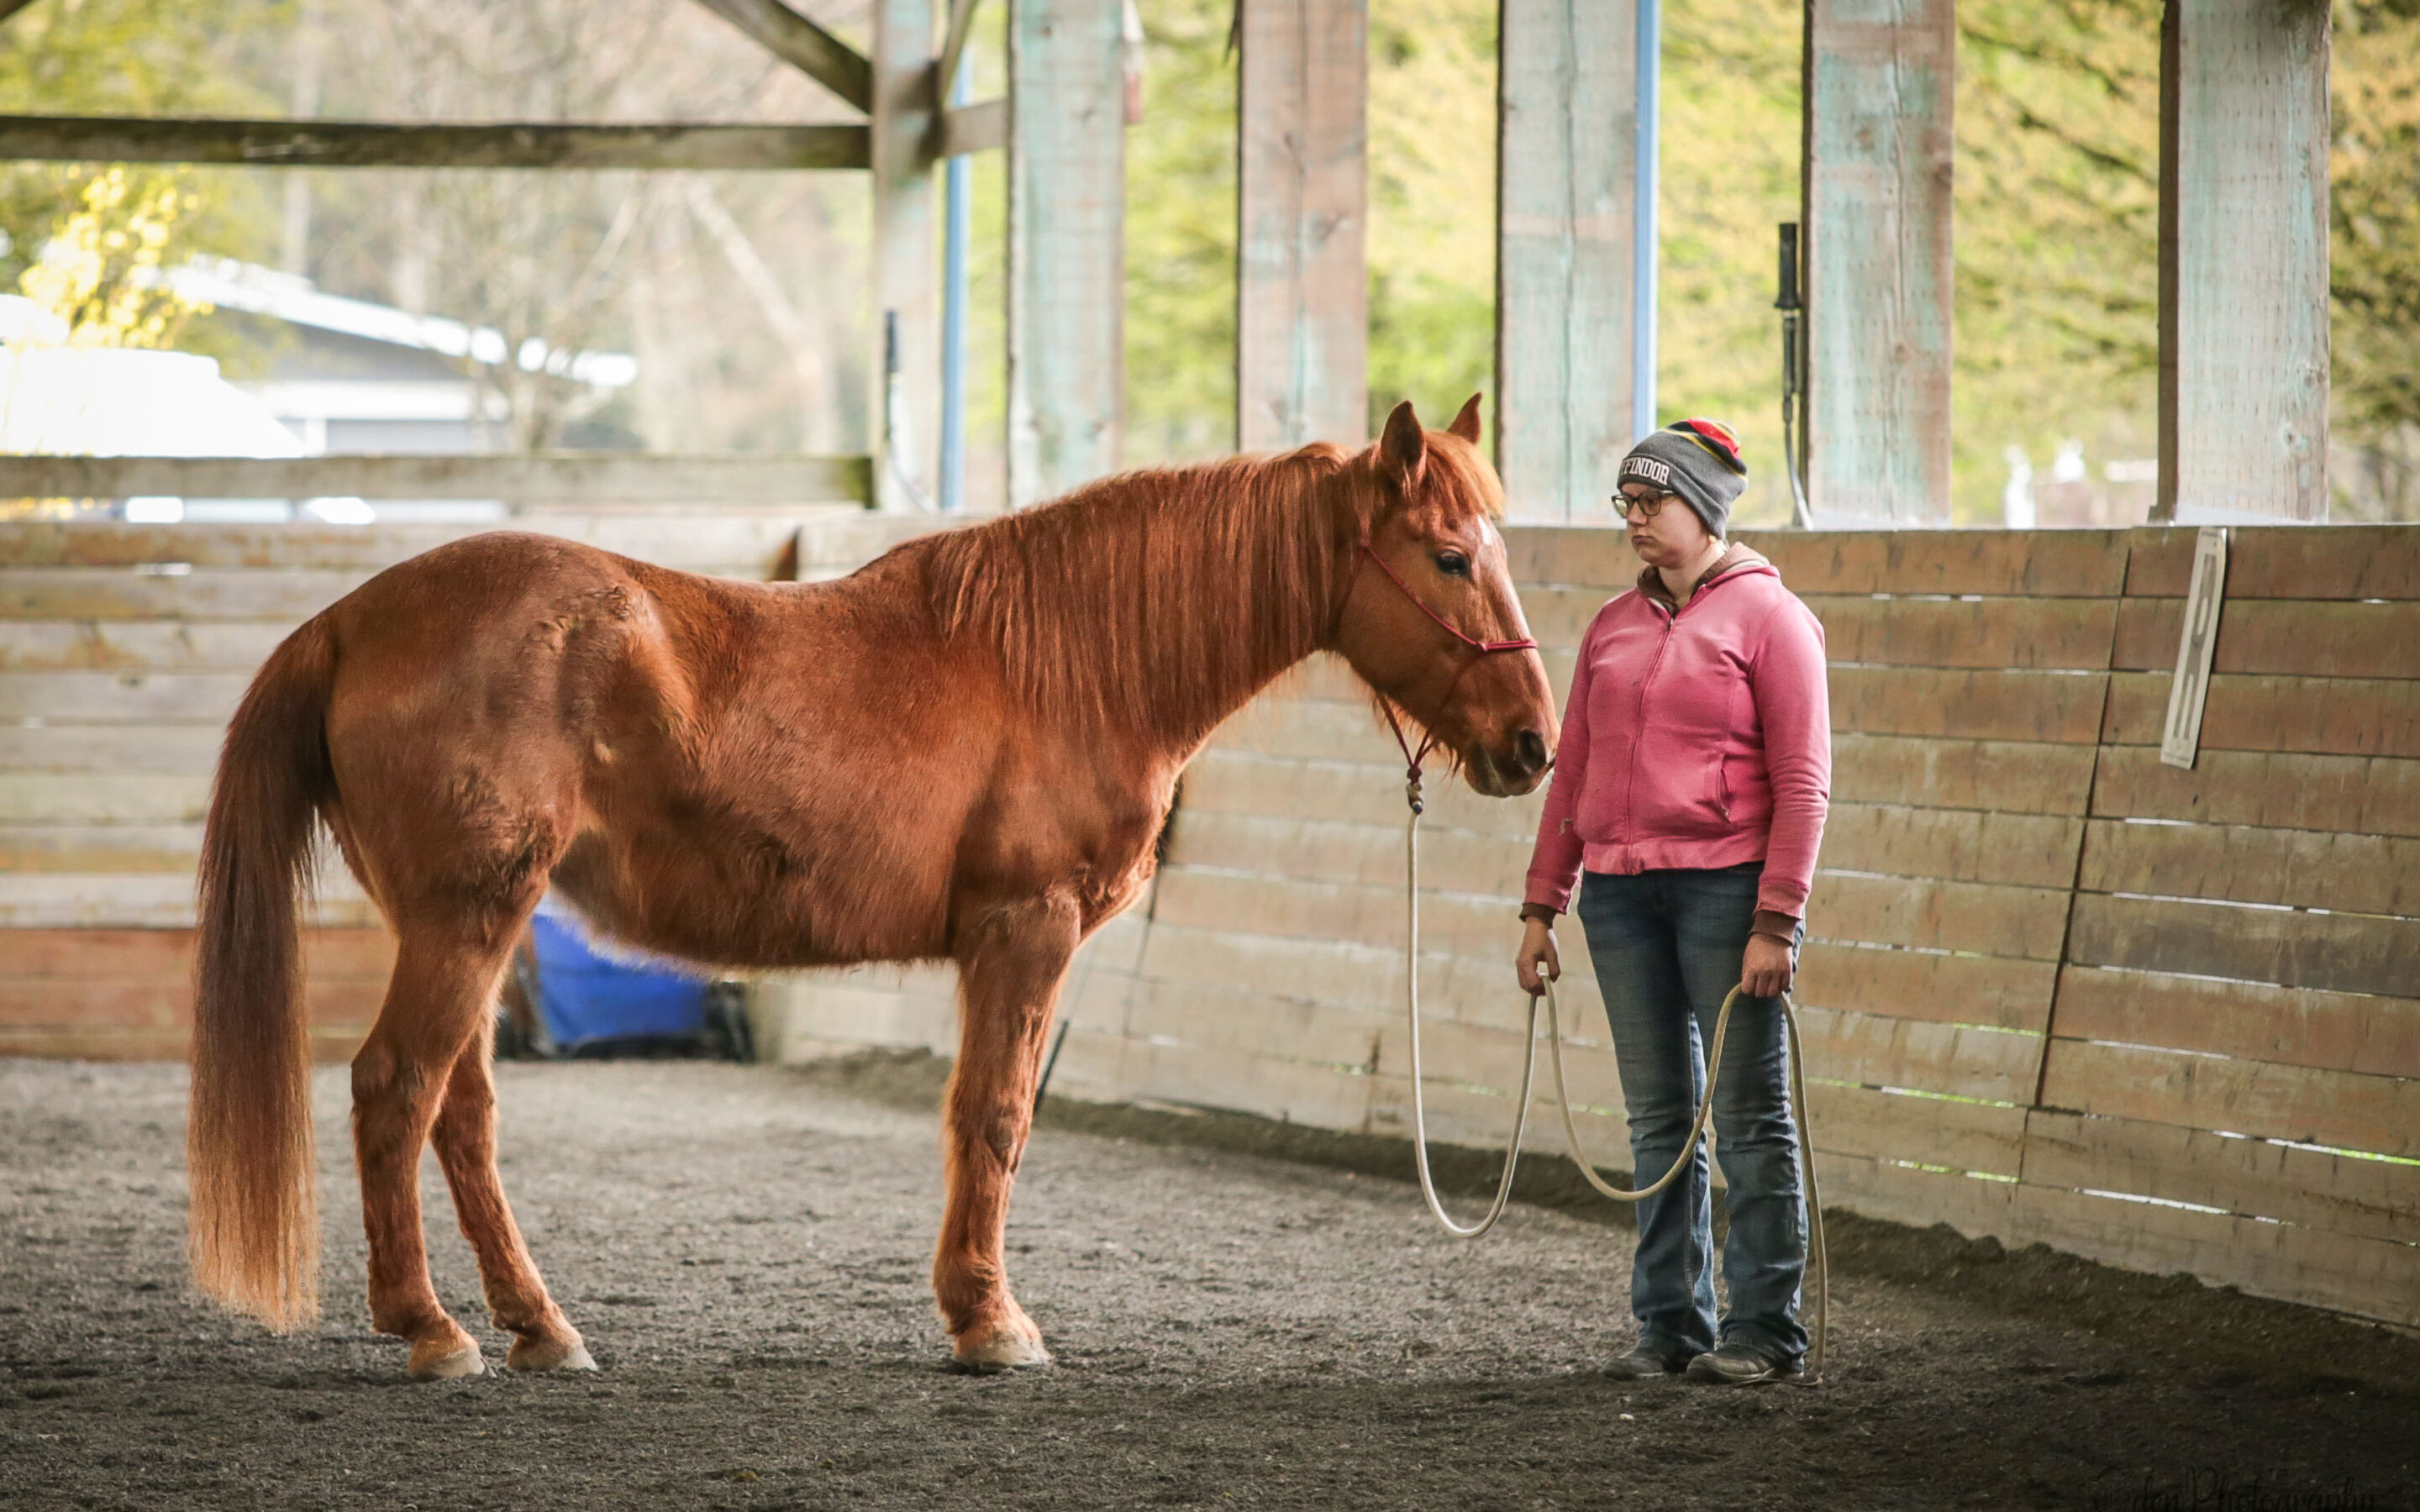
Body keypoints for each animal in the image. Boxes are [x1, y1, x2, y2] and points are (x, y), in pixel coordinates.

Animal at [183, 394, 1549, 1373]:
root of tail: (352, 619)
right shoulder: (1025, 932)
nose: (1533, 744)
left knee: (458, 1116)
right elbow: (994, 1117)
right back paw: (430, 1329)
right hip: (466, 922)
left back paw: (538, 1327)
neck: (1073, 661)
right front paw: (992, 1324)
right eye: (1447, 556)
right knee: (394, 1091)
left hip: (462, 923)